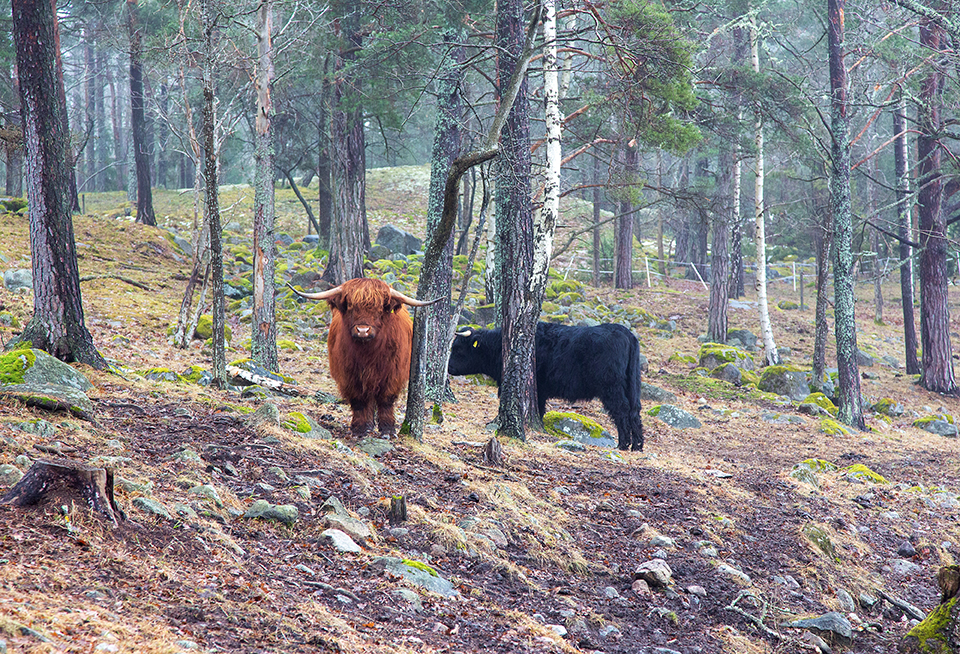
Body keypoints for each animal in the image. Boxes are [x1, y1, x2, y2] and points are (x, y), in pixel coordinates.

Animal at [450, 322, 644, 452]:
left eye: (458, 349)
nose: (448, 367)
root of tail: (625, 333)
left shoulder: (540, 390)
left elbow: (540, 410)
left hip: (612, 387)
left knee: (622, 410)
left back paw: (623, 444)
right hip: (632, 385)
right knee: (635, 412)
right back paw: (637, 445)